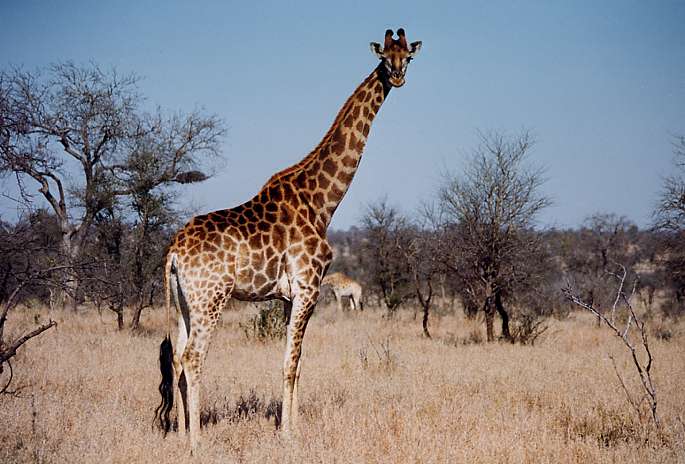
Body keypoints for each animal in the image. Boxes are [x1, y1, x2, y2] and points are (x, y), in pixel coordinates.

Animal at [156, 27, 422, 452]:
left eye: (408, 57)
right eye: (384, 57)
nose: (397, 77)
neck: (322, 202)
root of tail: (174, 253)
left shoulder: (288, 297)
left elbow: (294, 360)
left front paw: (292, 427)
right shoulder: (309, 288)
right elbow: (291, 362)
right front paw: (289, 435)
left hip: (184, 300)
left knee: (178, 357)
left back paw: (180, 434)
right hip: (211, 298)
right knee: (194, 358)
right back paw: (198, 443)